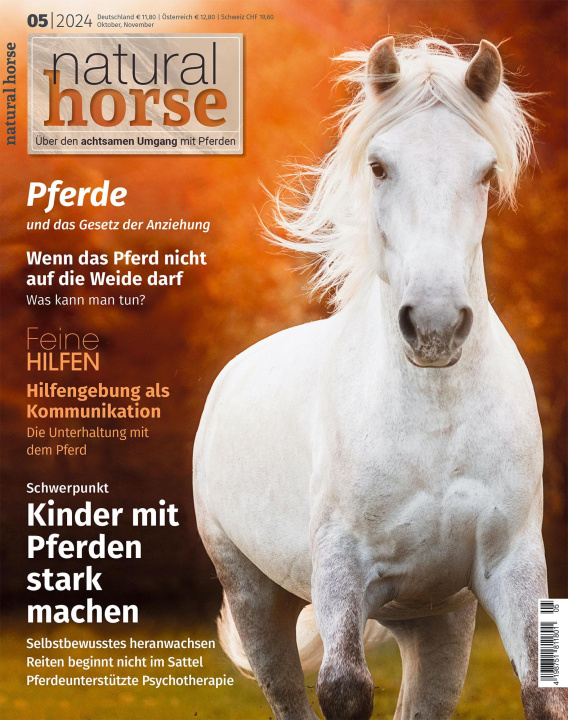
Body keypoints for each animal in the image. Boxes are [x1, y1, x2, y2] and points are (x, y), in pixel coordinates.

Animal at [193, 36, 567, 719]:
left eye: (484, 172)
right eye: (379, 166)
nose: (435, 325)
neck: (435, 419)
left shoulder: (511, 566)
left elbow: (542, 695)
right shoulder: (342, 570)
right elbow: (344, 690)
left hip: (437, 622)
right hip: (255, 597)